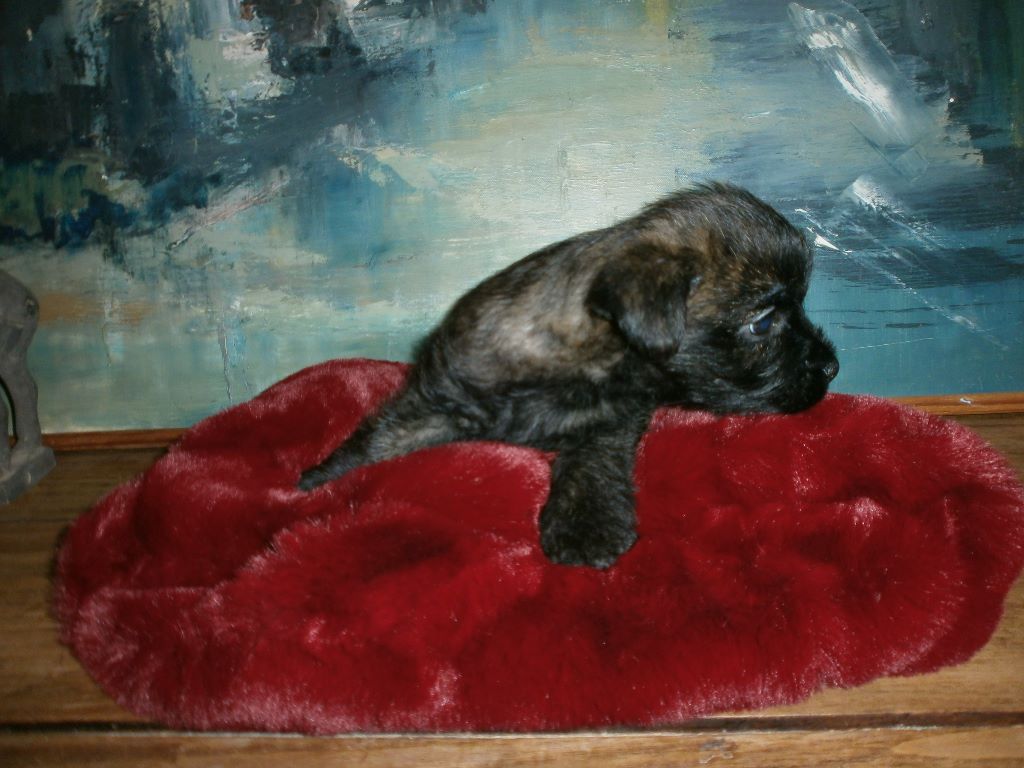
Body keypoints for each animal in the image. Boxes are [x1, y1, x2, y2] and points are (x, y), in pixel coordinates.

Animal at [299, 183, 839, 568]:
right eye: (763, 323)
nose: (833, 366)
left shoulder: (612, 418)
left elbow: (590, 460)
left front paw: (586, 525)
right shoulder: (442, 393)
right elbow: (384, 436)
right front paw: (321, 476)